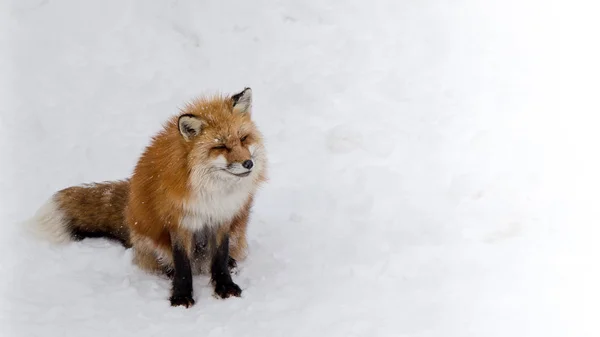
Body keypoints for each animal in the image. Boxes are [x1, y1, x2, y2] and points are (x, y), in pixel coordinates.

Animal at [28, 88, 268, 308]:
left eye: (243, 139)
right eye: (220, 146)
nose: (248, 163)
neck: (211, 192)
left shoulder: (222, 218)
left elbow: (219, 257)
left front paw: (224, 286)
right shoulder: (178, 221)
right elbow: (182, 264)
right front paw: (181, 296)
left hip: (239, 228)